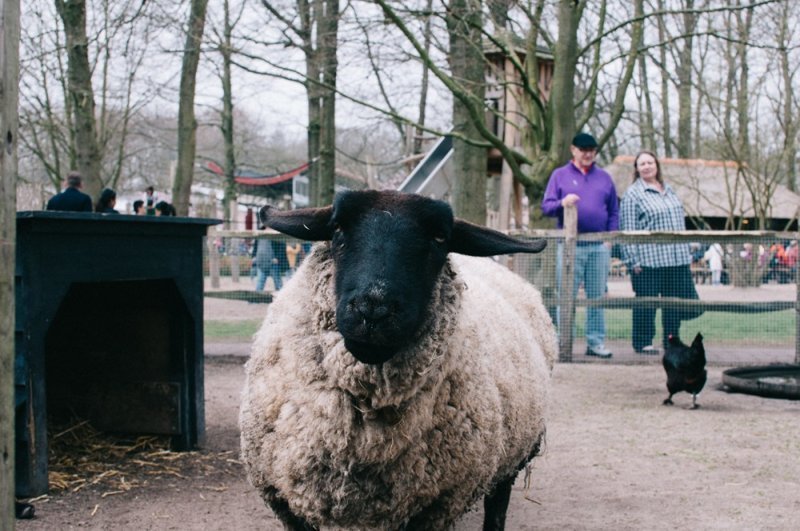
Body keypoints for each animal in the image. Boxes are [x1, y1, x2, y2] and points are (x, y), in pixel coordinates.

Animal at [241, 191, 560, 531]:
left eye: (440, 237)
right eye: (337, 227)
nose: (373, 309)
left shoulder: (435, 507)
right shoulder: (285, 501)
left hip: (514, 456)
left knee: (497, 505)